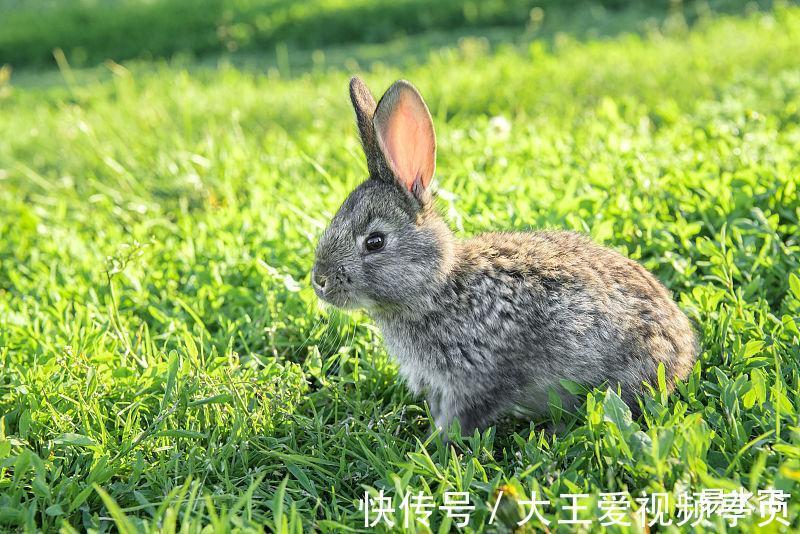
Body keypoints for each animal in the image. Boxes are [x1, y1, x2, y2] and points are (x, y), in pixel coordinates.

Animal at [310, 78, 696, 440]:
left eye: (375, 242)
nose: (319, 281)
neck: (438, 288)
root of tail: (683, 352)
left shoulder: (476, 379)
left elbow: (460, 418)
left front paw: (433, 444)